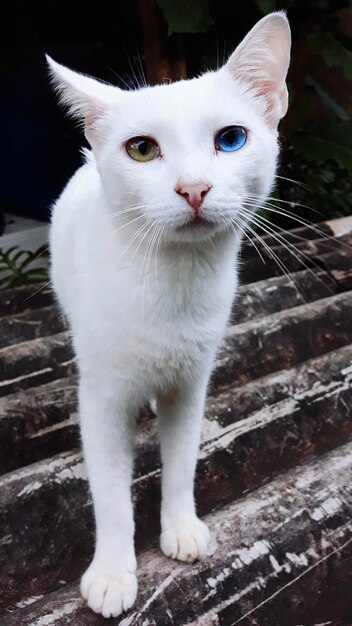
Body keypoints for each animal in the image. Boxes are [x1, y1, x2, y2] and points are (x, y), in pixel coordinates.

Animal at [48, 12, 292, 616]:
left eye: (231, 139)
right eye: (140, 149)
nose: (194, 188)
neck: (175, 284)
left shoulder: (192, 381)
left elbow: (181, 460)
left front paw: (180, 527)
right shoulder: (102, 398)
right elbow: (109, 491)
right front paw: (112, 573)